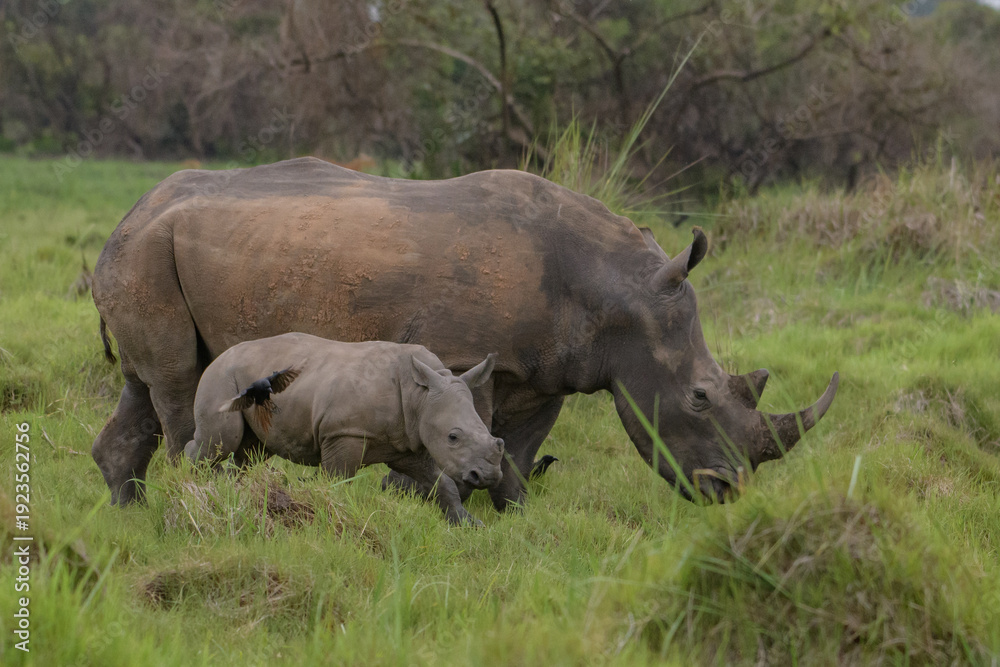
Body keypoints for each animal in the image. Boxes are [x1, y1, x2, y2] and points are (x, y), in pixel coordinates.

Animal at [185, 333, 503, 525]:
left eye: (494, 438)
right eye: (453, 437)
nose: (487, 476)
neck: (420, 395)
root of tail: (219, 356)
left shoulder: (408, 442)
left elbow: (442, 481)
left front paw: (468, 523)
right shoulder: (345, 432)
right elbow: (339, 481)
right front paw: (334, 518)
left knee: (252, 452)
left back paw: (229, 491)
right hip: (222, 377)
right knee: (222, 441)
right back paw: (189, 484)